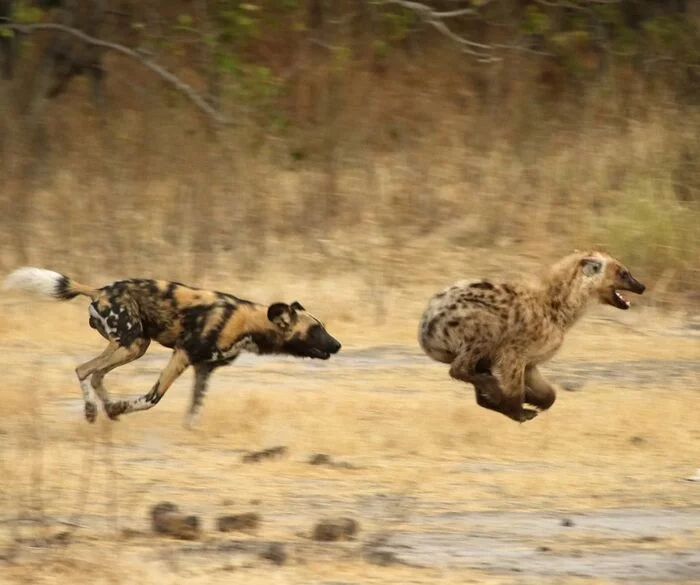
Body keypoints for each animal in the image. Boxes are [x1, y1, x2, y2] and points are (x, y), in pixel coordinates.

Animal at [2, 266, 342, 426]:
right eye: (316, 330)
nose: (338, 345)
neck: (248, 322)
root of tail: (100, 289)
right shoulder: (183, 355)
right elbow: (153, 398)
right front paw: (125, 406)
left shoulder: (204, 369)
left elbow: (193, 412)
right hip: (131, 344)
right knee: (84, 370)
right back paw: (97, 410)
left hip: (134, 345)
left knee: (94, 373)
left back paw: (108, 410)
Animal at [422, 249, 644, 422]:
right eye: (624, 273)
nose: (642, 286)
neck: (559, 309)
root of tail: (425, 329)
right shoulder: (514, 353)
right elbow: (515, 390)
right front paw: (520, 411)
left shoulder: (531, 361)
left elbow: (549, 394)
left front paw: (532, 399)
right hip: (485, 326)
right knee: (459, 368)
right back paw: (493, 386)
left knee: (477, 386)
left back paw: (491, 389)